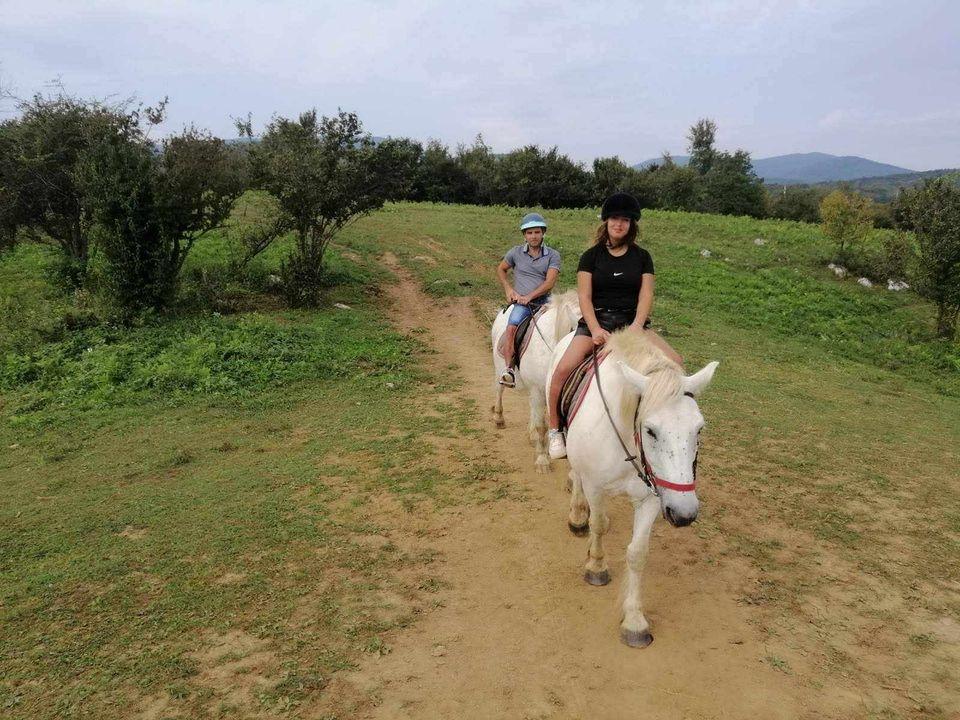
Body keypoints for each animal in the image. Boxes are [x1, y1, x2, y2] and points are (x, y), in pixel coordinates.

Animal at [492, 290, 580, 476]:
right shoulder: (538, 390)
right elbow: (542, 426)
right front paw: (542, 460)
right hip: (500, 370)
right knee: (499, 390)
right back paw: (499, 418)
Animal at [548, 330, 720, 648]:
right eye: (650, 430)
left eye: (699, 429)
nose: (684, 513)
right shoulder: (595, 485)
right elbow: (598, 525)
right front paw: (596, 566)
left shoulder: (653, 497)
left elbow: (637, 553)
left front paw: (634, 621)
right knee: (577, 478)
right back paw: (577, 516)